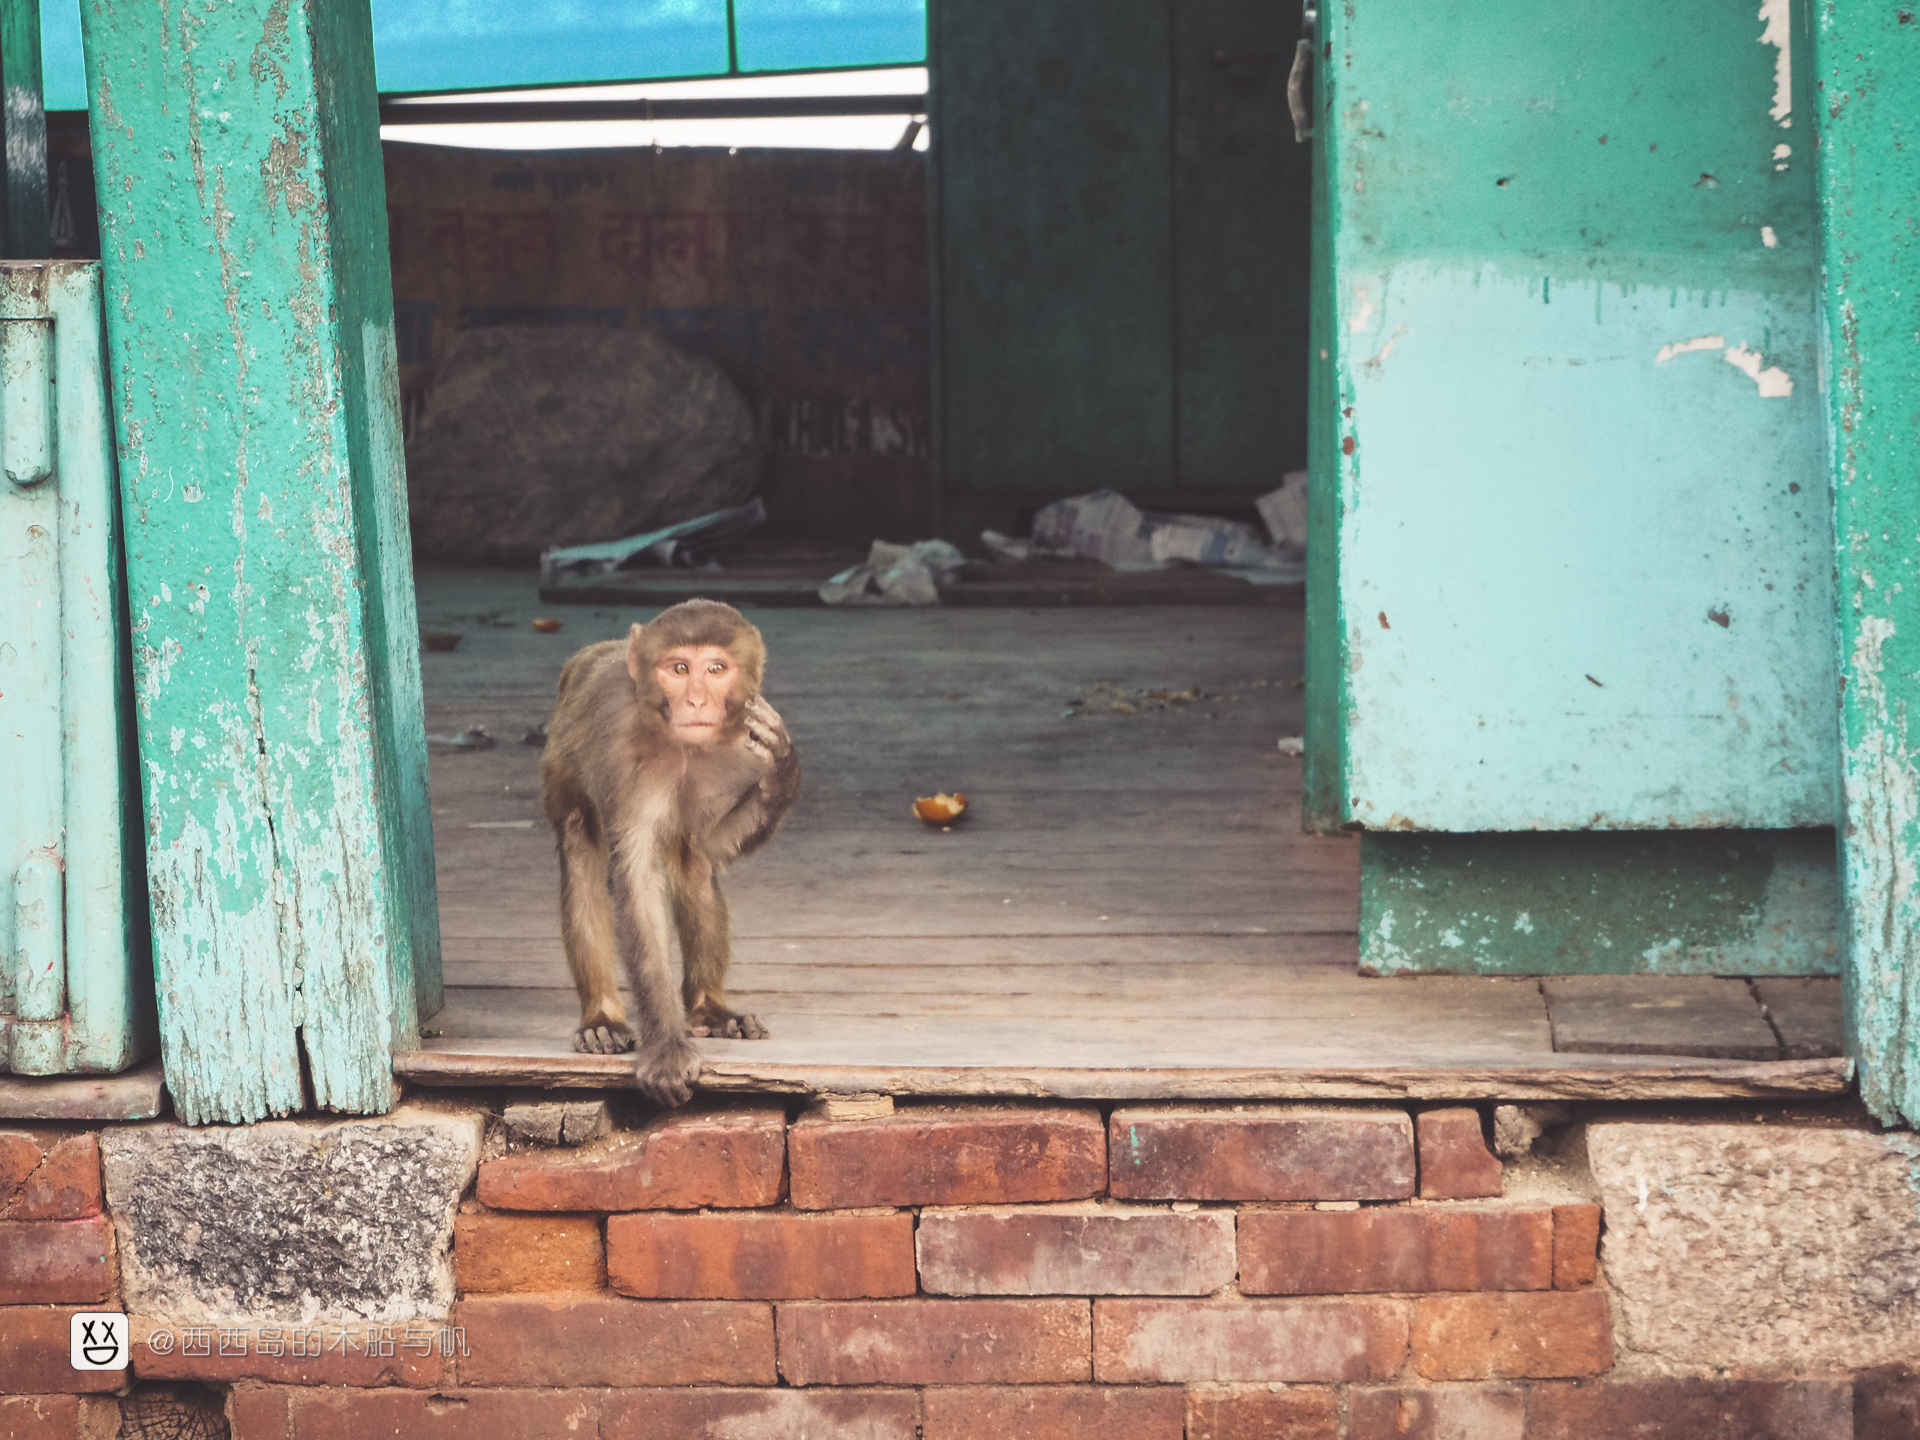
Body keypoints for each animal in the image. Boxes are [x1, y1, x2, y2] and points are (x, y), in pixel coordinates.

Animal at [541, 599, 802, 1105]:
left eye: (716, 668)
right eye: (679, 668)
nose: (696, 701)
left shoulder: (740, 745)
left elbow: (710, 846)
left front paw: (782, 771)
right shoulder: (620, 750)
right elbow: (636, 880)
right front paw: (666, 1050)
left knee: (691, 862)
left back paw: (708, 1011)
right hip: (559, 765)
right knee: (581, 848)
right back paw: (602, 1019)